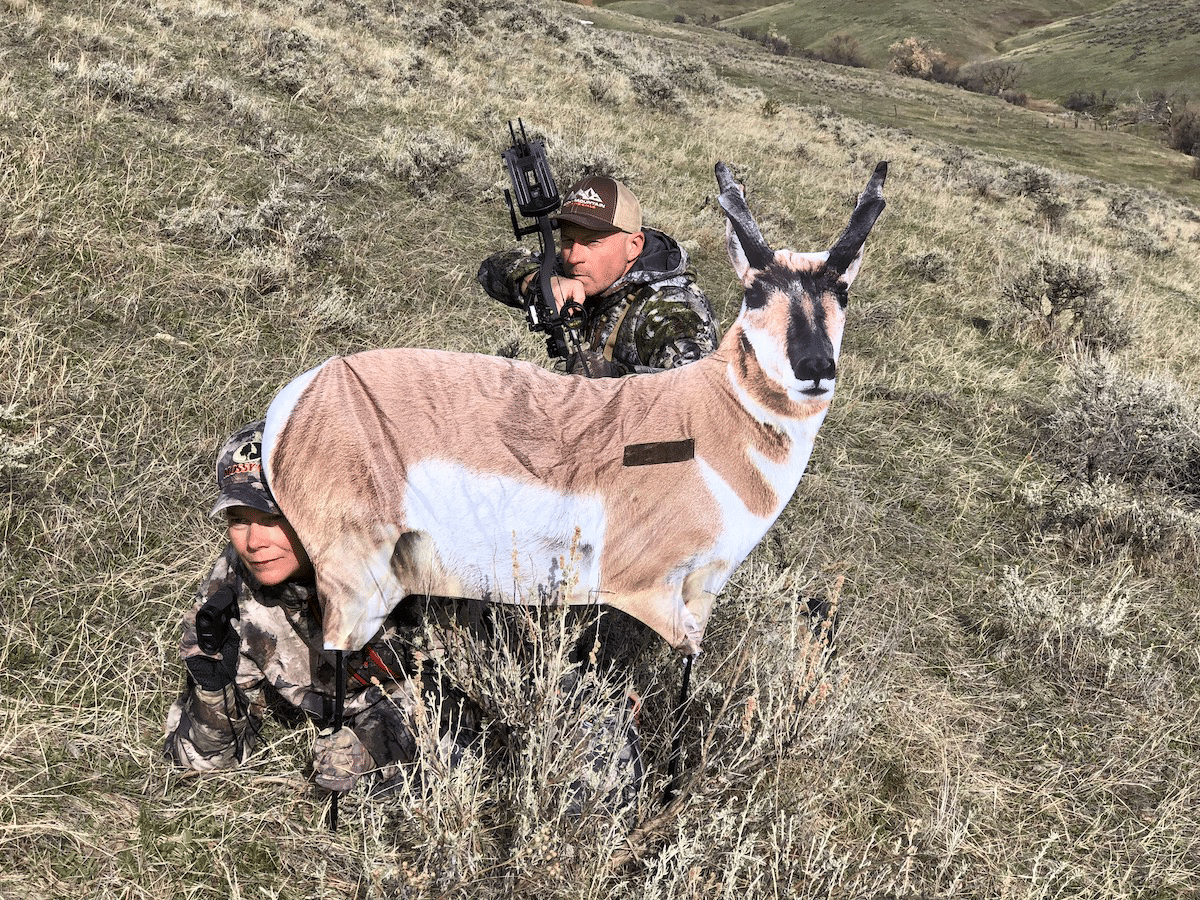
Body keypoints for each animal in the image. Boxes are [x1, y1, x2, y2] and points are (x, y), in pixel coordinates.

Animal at [261, 161, 887, 655]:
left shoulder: (699, 592)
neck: (705, 415)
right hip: (360, 584)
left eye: (843, 292)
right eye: (755, 291)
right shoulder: (654, 595)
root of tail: (305, 393)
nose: (815, 368)